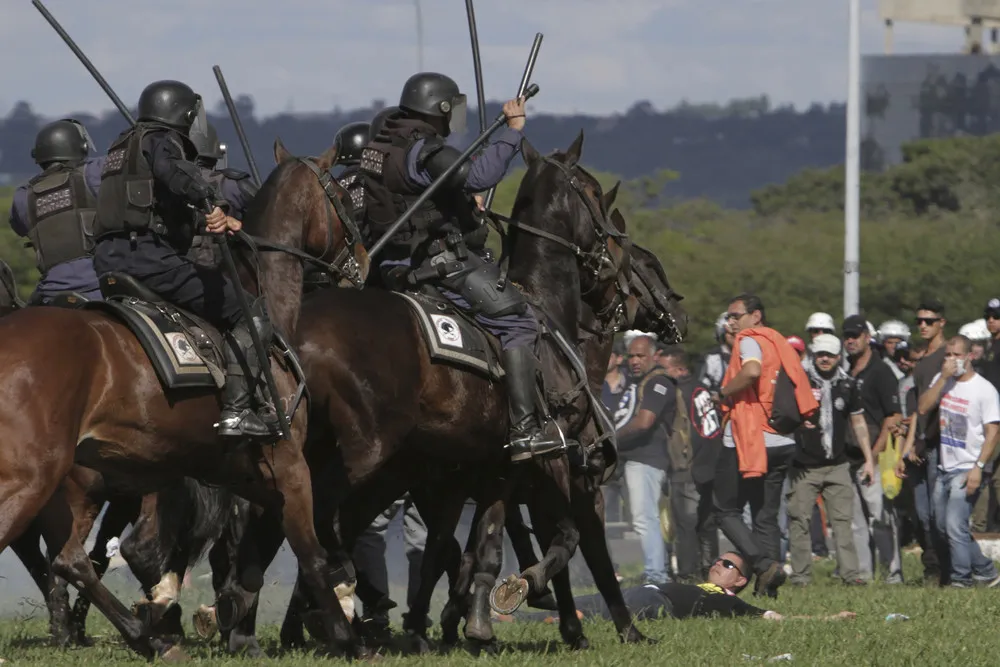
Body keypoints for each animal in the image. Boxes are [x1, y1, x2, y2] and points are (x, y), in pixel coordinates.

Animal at [0, 142, 372, 664]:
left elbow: (256, 553)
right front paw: (344, 635)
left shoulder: (238, 473)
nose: (362, 259)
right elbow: (311, 552)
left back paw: (147, 637)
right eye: (340, 191)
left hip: (64, 486)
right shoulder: (287, 463)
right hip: (33, 481)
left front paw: (235, 623)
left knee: (72, 560)